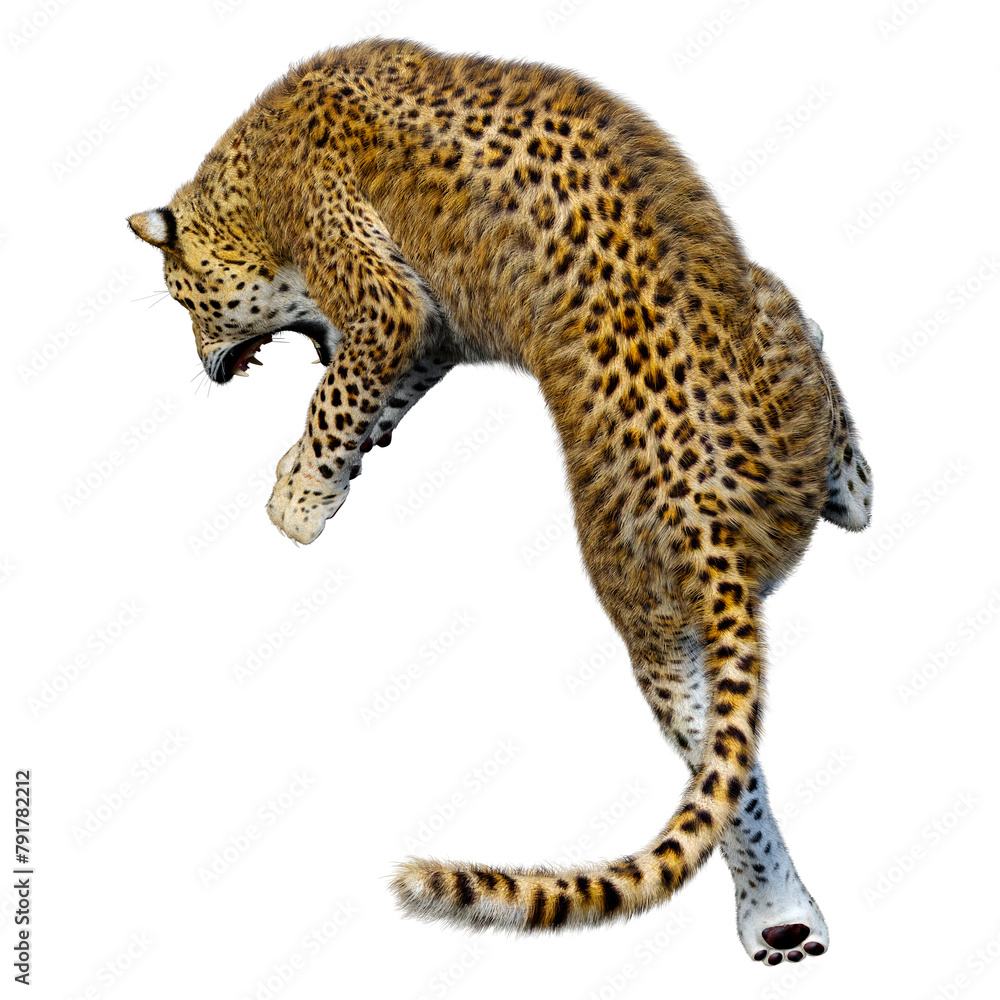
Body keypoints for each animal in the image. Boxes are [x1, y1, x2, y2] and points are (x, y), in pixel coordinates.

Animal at [128, 38, 872, 966]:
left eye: (185, 302)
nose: (206, 365)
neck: (254, 178)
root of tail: (705, 521)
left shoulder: (386, 303)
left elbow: (340, 396)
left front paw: (299, 498)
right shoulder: (433, 323)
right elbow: (377, 397)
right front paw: (318, 471)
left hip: (641, 601)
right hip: (704, 524)